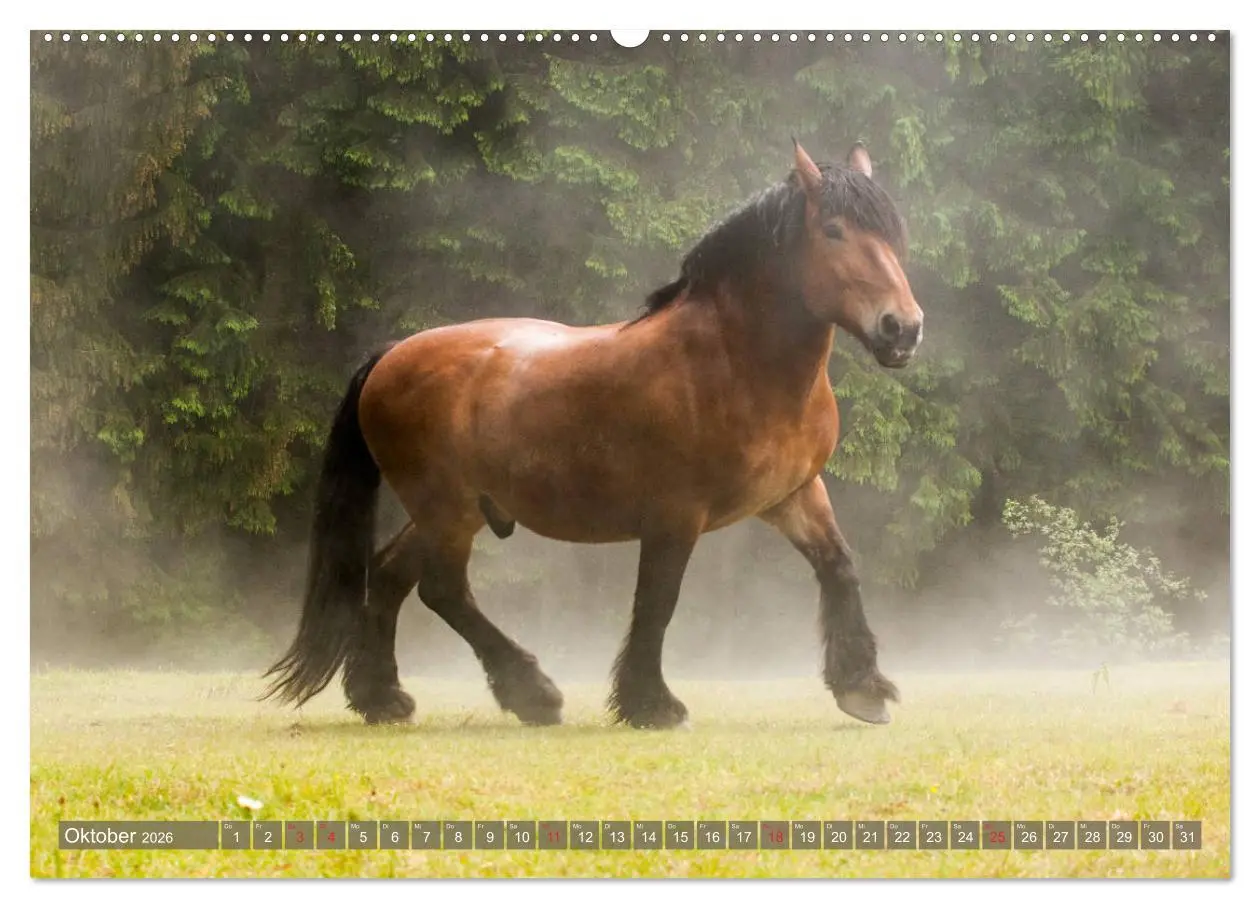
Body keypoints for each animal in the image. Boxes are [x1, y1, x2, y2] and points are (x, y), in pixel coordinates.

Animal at [262, 141, 923, 729]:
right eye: (834, 230)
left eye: (894, 235)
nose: (903, 328)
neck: (735, 362)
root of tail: (394, 352)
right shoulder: (675, 514)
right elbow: (657, 602)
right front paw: (651, 704)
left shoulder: (793, 494)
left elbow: (839, 566)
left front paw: (862, 687)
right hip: (446, 509)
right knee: (442, 589)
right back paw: (531, 693)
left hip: (455, 511)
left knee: (392, 575)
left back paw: (383, 697)